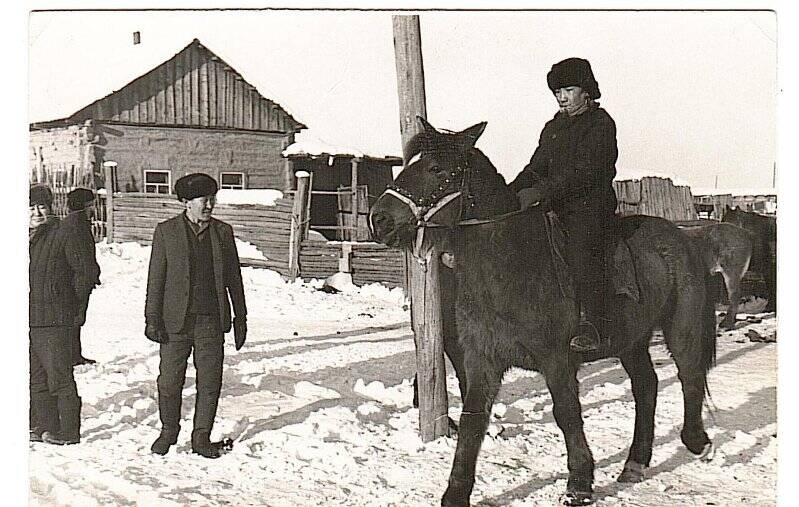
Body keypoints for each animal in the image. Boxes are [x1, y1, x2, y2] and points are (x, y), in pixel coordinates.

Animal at [368, 117, 720, 506]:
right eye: (408, 165)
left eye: (436, 169)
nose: (380, 219)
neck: (510, 264)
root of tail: (682, 239)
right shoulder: (482, 360)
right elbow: (474, 418)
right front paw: (456, 492)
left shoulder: (557, 359)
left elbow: (566, 413)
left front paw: (579, 481)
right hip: (631, 341)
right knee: (647, 386)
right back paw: (635, 462)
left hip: (682, 328)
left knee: (689, 376)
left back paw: (697, 441)